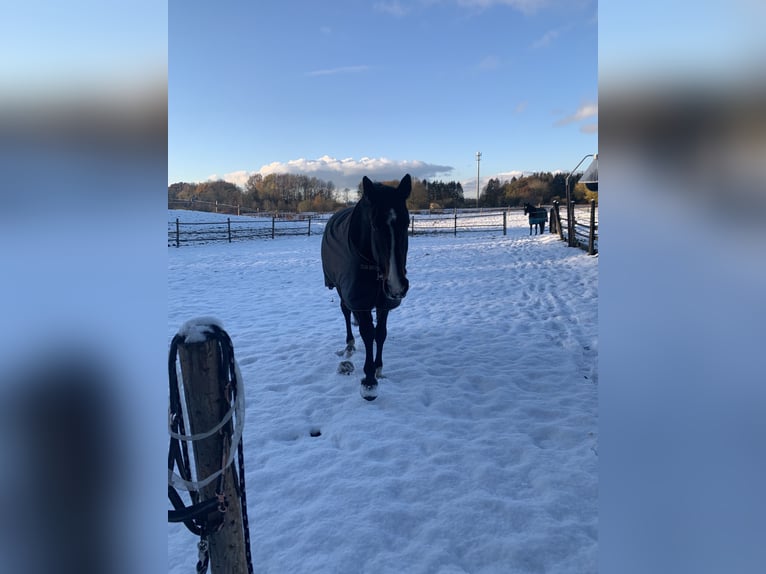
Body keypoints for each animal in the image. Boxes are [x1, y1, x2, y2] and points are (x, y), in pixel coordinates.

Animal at [320, 174, 412, 400]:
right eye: (374, 225)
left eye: (406, 223)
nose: (397, 285)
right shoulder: (359, 300)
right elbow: (368, 333)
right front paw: (369, 381)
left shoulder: (384, 301)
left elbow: (381, 333)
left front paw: (378, 368)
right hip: (340, 288)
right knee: (345, 312)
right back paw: (350, 344)